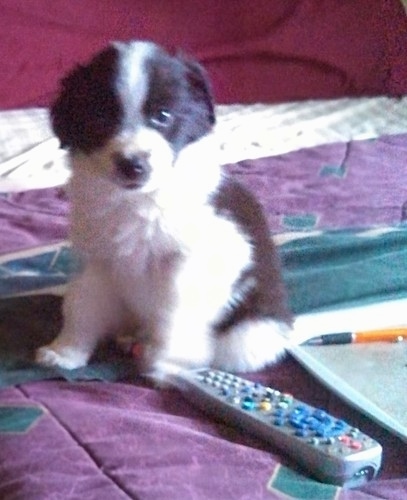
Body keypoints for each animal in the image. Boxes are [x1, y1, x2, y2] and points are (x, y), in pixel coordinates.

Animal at [35, 41, 292, 376]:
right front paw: (65, 352)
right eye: (101, 118)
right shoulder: (98, 261)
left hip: (249, 335)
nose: (133, 165)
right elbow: (82, 305)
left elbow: (175, 308)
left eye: (163, 115)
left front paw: (165, 359)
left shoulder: (204, 258)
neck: (140, 200)